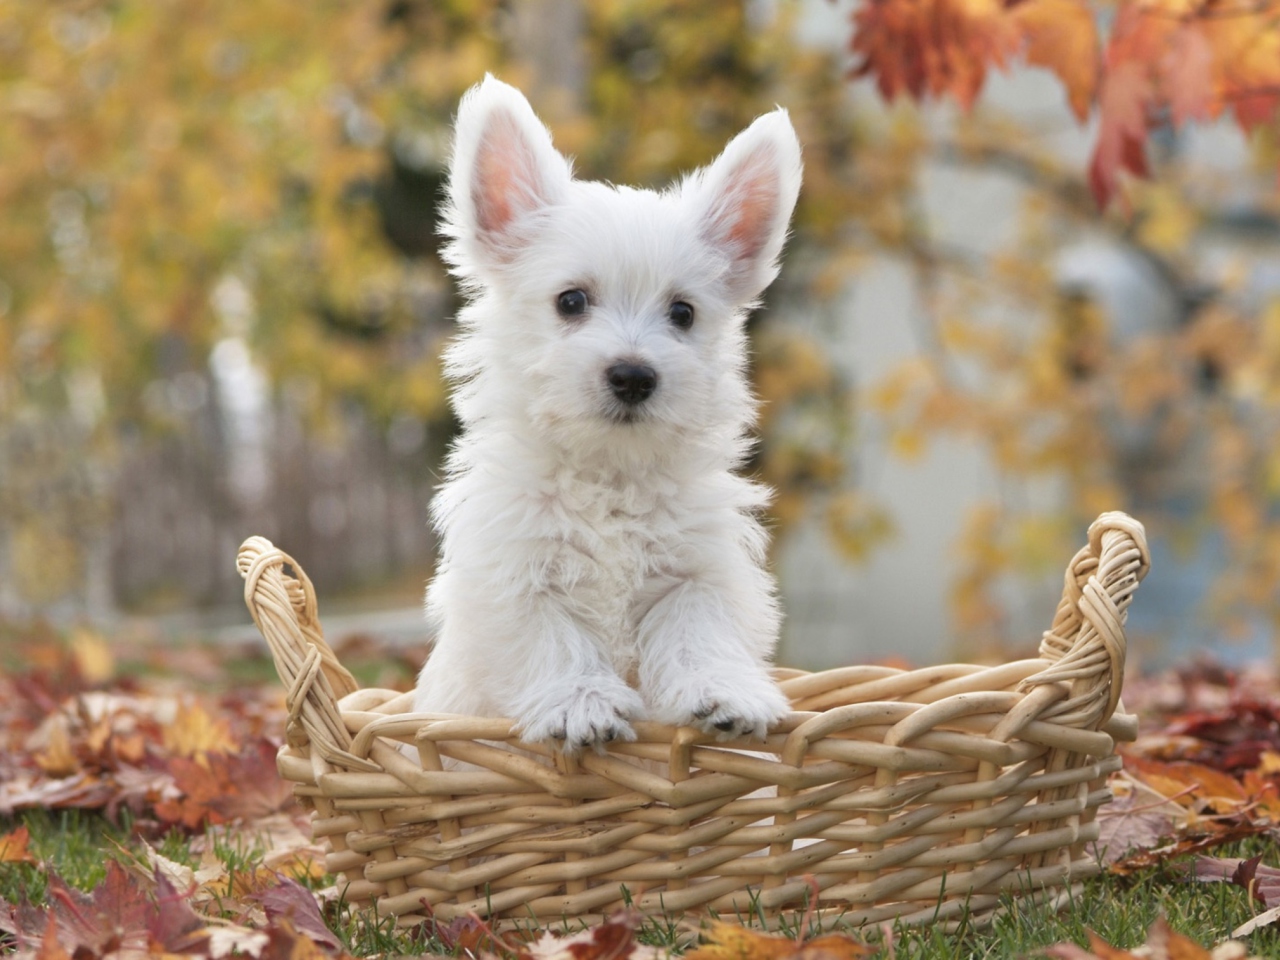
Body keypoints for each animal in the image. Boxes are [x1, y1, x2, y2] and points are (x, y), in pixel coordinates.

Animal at [412, 75, 798, 757]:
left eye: (683, 313)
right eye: (571, 301)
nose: (634, 376)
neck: (608, 474)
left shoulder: (698, 570)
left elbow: (698, 630)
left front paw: (726, 694)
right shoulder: (515, 575)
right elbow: (553, 641)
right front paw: (581, 706)